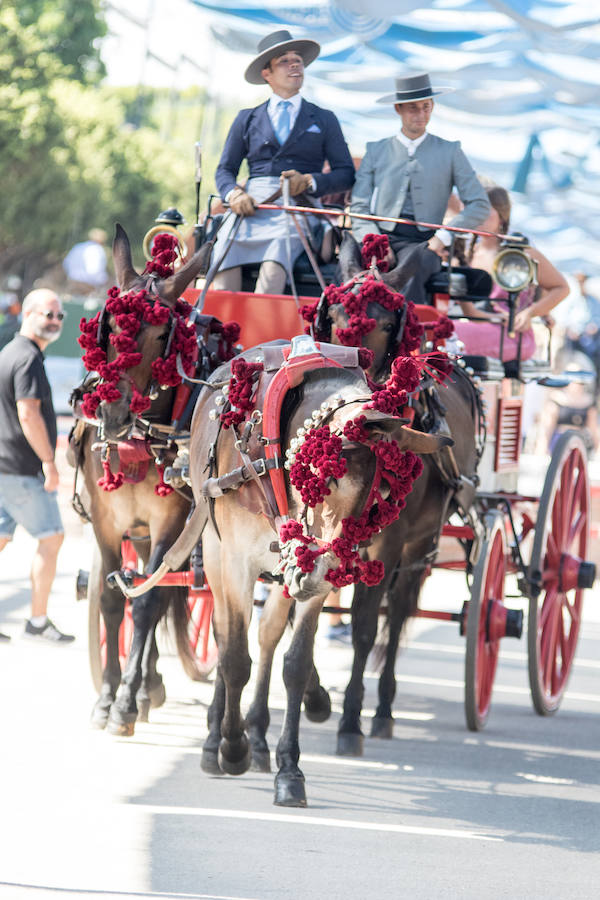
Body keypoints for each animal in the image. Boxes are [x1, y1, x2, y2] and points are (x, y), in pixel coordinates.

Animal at [71, 223, 214, 732]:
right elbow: (114, 601)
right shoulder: (105, 521)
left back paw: (146, 687)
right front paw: (107, 696)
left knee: (157, 593)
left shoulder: (170, 522)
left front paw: (126, 703)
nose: (112, 412)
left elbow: (149, 603)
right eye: (109, 326)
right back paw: (150, 684)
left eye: (159, 333)